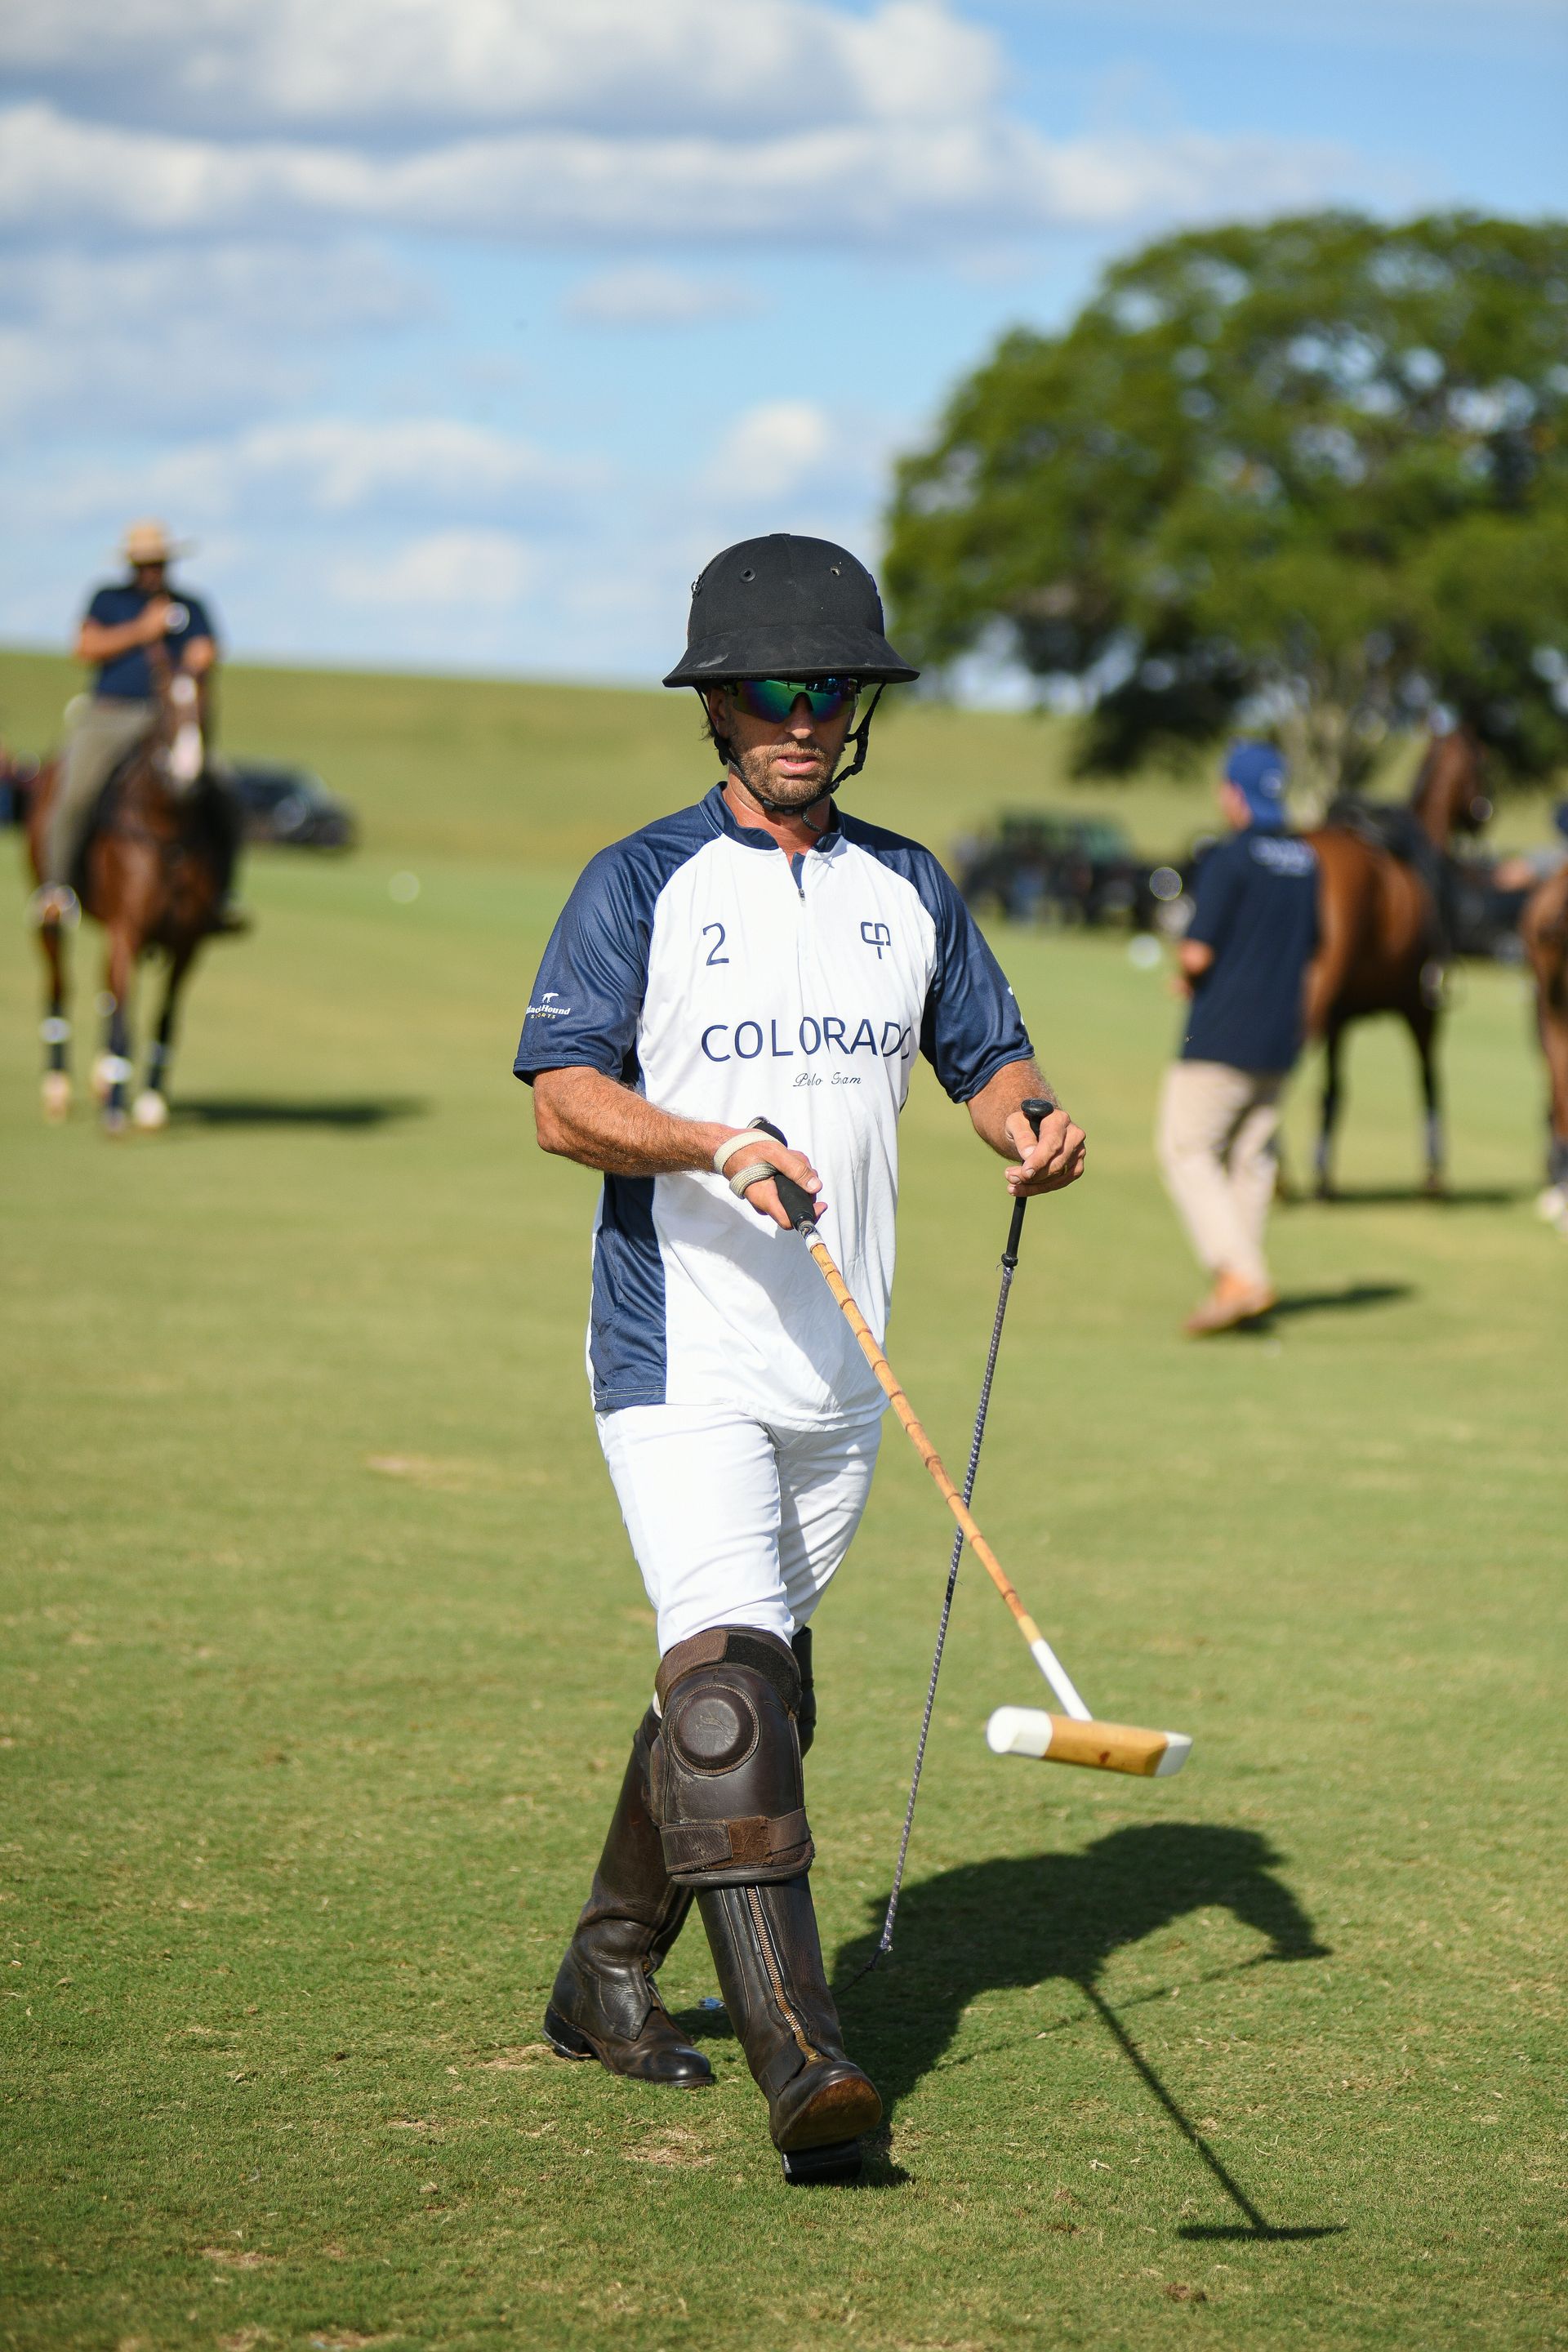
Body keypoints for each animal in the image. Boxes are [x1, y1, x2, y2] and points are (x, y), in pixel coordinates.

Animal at [26, 652, 231, 1134]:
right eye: (164, 704)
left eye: (209, 704)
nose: (187, 778)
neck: (170, 830)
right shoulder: (129, 928)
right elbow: (123, 1015)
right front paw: (117, 1109)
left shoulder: (188, 941)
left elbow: (164, 1016)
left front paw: (150, 1101)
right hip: (52, 909)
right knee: (61, 982)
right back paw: (59, 1088)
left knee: (108, 988)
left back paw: (103, 1077)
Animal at [1301, 727, 1492, 1198]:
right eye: (1483, 764)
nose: (1485, 813)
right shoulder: (1422, 1008)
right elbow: (1430, 1081)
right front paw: (1434, 1172)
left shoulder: (1341, 1018)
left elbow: (1333, 1090)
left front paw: (1323, 1175)